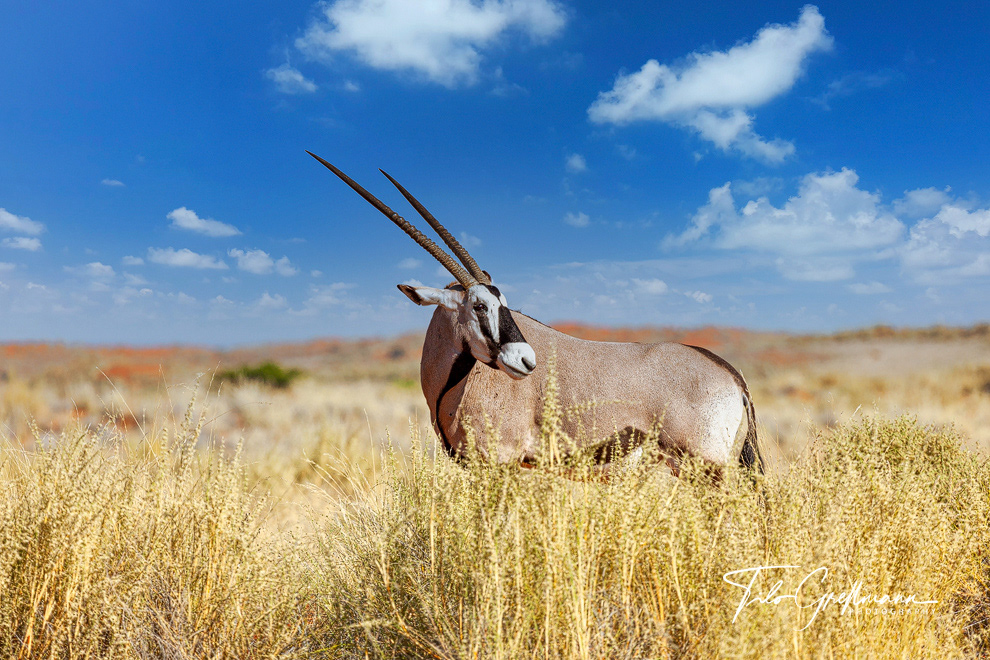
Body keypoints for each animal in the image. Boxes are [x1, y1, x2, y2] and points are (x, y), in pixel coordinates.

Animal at [308, 152, 763, 478]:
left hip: (705, 468)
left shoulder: (503, 464)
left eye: (502, 303)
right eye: (480, 305)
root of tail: (731, 375)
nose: (526, 360)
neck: (453, 382)